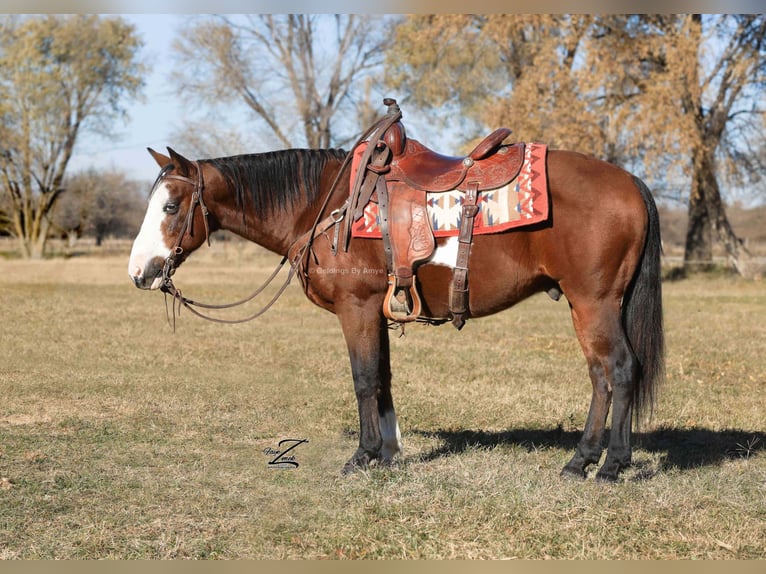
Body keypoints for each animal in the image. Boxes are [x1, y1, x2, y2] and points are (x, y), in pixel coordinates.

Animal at [128, 136, 664, 482]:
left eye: (171, 207)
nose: (139, 271)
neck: (324, 206)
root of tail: (631, 181)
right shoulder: (377, 314)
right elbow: (382, 378)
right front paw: (387, 453)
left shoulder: (357, 308)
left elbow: (364, 378)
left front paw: (362, 457)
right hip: (584, 305)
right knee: (600, 376)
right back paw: (582, 460)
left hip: (594, 302)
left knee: (620, 369)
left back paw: (610, 465)